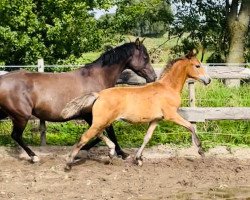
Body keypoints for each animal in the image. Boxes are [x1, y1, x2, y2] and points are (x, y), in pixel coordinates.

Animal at [0, 38, 156, 162]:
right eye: (145, 57)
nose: (153, 77)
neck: (97, 78)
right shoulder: (92, 114)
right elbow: (107, 132)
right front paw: (122, 153)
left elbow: (100, 133)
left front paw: (84, 148)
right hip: (21, 116)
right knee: (16, 135)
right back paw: (34, 157)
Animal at [61, 48, 210, 169]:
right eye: (197, 65)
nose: (208, 80)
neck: (168, 88)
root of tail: (99, 94)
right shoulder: (171, 115)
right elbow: (190, 126)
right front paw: (200, 150)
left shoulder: (156, 119)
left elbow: (147, 137)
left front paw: (138, 159)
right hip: (101, 121)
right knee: (86, 136)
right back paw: (69, 163)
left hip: (102, 121)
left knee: (97, 134)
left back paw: (110, 152)